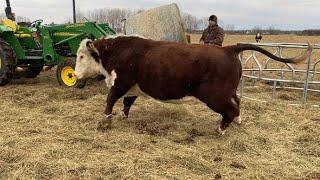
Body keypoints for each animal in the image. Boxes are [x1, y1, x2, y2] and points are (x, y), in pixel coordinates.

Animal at [74, 35, 312, 134]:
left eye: (81, 56)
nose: (75, 76)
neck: (118, 51)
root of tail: (229, 49)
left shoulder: (120, 83)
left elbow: (110, 100)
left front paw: (105, 121)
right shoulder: (133, 87)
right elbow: (127, 103)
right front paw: (123, 117)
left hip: (215, 96)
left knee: (230, 109)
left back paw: (220, 129)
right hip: (229, 92)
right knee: (237, 103)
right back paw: (237, 122)